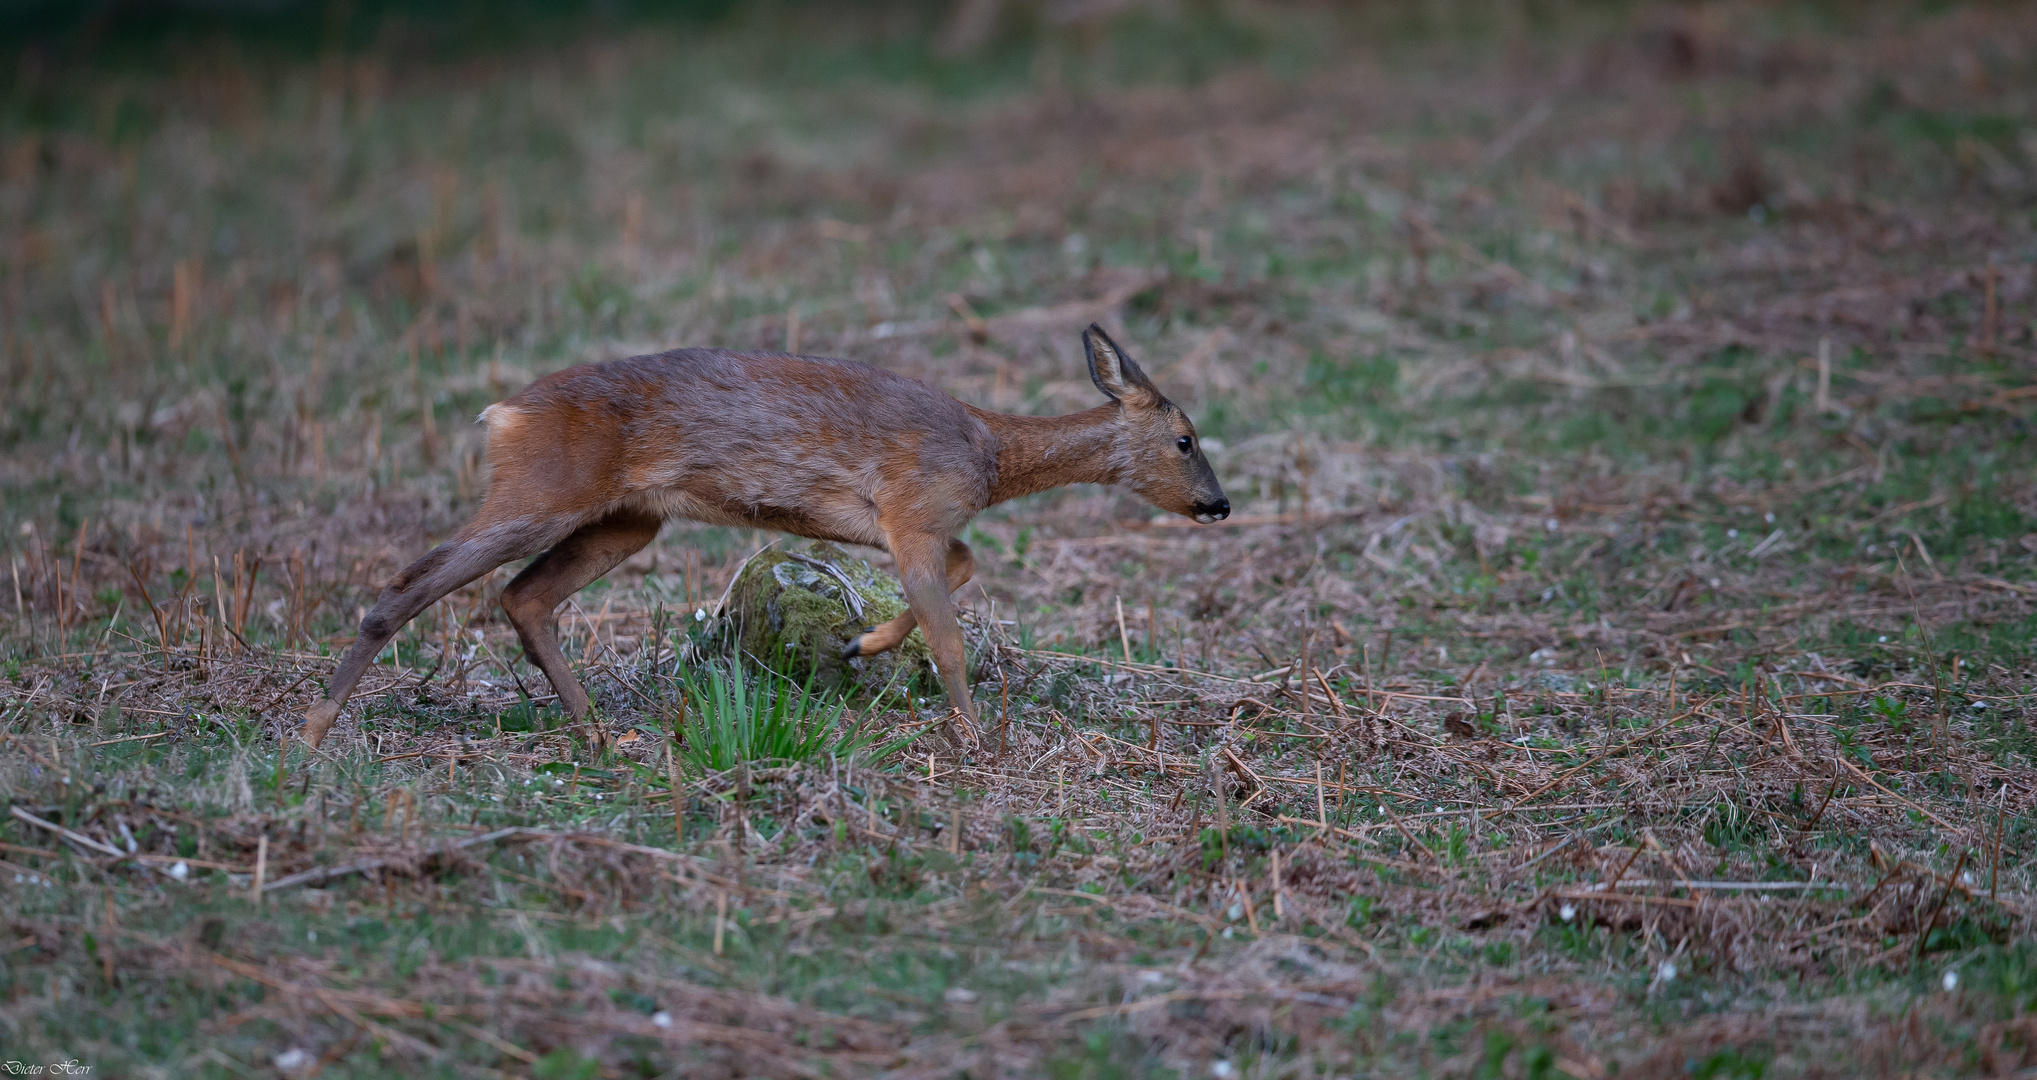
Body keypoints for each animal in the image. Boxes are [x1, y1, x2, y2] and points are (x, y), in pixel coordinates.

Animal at [299, 321, 1222, 749]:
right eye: (1185, 438)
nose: (1216, 505)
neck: (989, 455)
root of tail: (503, 413)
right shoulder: (915, 510)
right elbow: (950, 635)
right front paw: (977, 737)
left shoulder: (907, 524)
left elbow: (960, 572)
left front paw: (859, 645)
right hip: (543, 490)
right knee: (414, 581)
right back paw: (313, 728)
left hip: (628, 520)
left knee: (524, 596)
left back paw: (598, 729)